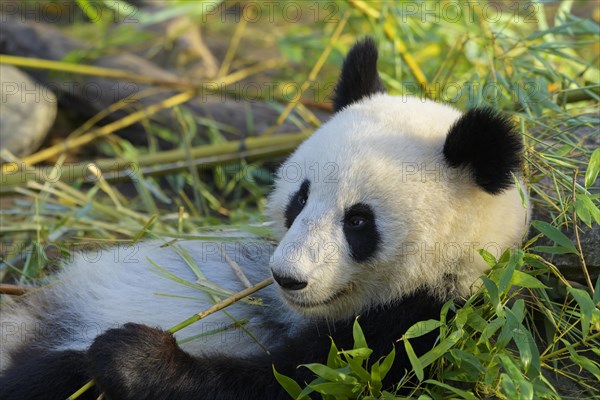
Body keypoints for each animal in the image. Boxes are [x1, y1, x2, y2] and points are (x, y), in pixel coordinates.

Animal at [0, 39, 528, 400]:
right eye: (300, 197)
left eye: (359, 221)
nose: (287, 278)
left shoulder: (423, 330)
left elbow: (300, 381)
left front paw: (132, 357)